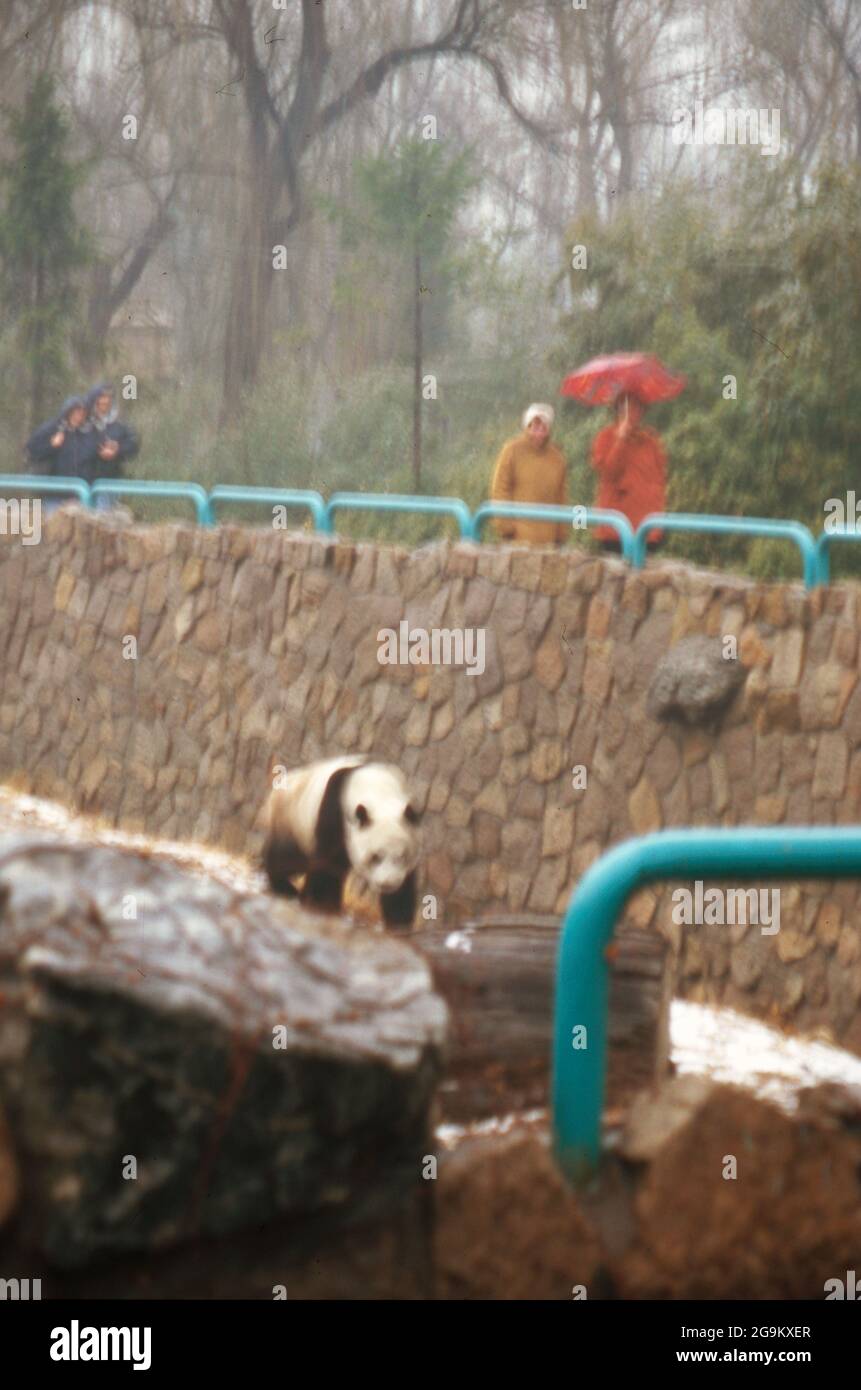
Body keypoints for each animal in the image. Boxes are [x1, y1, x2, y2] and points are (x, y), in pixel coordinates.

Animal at [262, 756, 425, 928]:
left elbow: (404, 886)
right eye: (375, 857)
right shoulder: (335, 814)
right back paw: (284, 886)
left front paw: (399, 922)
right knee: (286, 858)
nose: (387, 884)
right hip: (294, 821)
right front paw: (324, 905)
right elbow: (329, 866)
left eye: (402, 856)